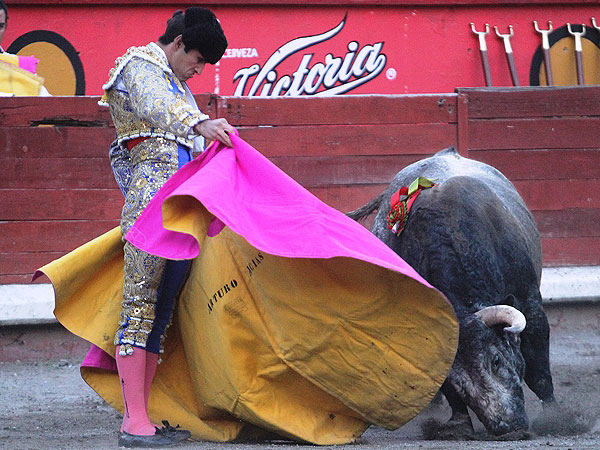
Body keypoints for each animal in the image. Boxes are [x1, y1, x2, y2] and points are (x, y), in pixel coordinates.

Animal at [350, 148, 556, 436]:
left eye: (496, 361)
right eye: (458, 384)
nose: (507, 426)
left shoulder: (530, 302)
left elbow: (538, 371)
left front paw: (558, 418)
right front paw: (459, 423)